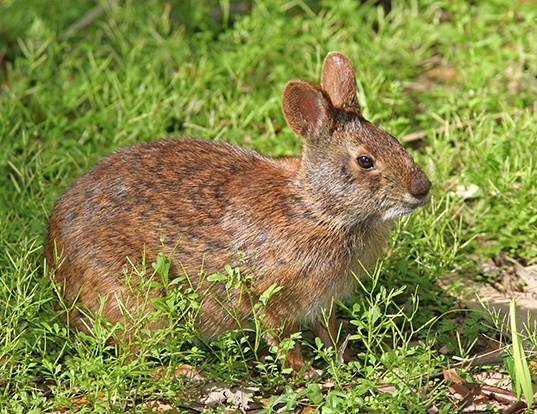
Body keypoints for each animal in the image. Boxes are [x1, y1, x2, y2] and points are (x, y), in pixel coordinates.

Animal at [46, 51, 432, 376]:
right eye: (365, 161)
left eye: (393, 139)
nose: (423, 189)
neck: (315, 209)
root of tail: (57, 271)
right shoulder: (270, 296)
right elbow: (283, 337)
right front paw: (305, 371)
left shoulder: (323, 302)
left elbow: (330, 331)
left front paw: (347, 360)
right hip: (140, 298)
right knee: (132, 356)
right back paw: (181, 372)